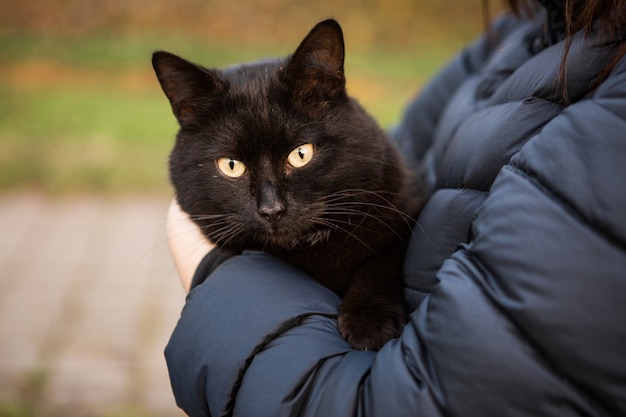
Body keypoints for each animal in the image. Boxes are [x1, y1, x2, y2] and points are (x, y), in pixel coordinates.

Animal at [154, 18, 422, 348]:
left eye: (301, 154)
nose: (272, 209)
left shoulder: (404, 208)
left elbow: (381, 263)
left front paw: (370, 321)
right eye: (231, 166)